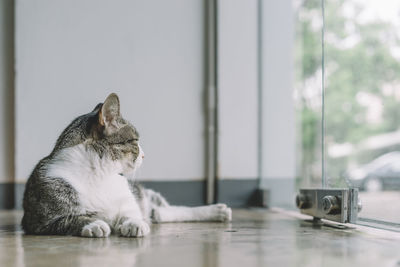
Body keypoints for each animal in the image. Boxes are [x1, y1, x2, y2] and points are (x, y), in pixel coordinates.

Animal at [21, 93, 231, 238]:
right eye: (136, 140)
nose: (145, 155)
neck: (100, 174)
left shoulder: (128, 202)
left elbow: (131, 213)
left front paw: (134, 224)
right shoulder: (39, 221)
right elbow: (70, 219)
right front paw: (94, 223)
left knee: (164, 211)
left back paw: (216, 210)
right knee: (161, 213)